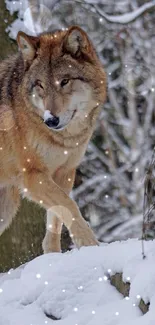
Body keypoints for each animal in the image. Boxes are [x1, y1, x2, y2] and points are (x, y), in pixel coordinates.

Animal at [0, 26, 106, 253]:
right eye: (40, 85)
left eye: (64, 81)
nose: (51, 120)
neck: (62, 140)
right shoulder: (32, 176)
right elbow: (69, 206)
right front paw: (90, 244)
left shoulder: (64, 172)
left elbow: (56, 217)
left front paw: (52, 255)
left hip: (6, 207)